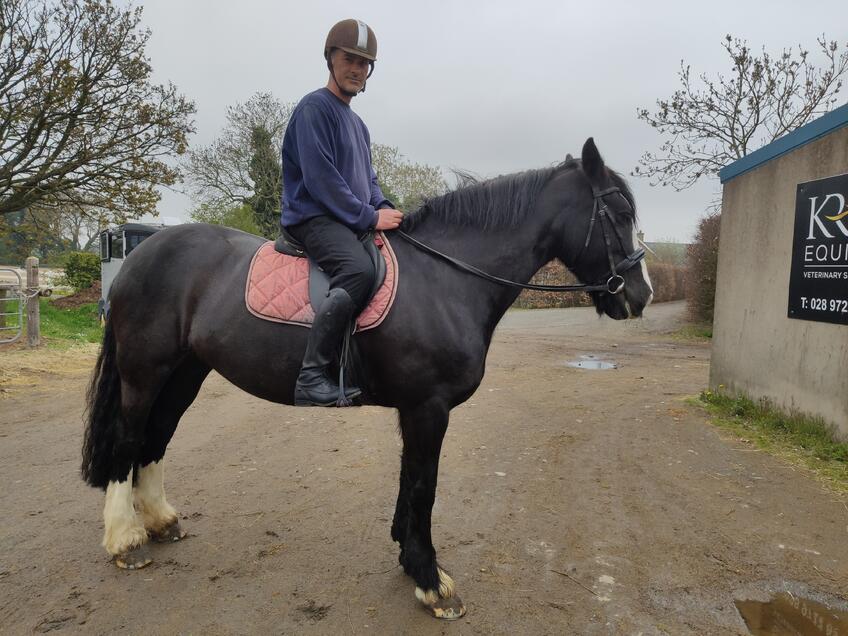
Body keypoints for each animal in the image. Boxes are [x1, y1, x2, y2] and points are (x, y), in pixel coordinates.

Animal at [81, 138, 648, 616]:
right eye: (620, 214)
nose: (641, 296)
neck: (445, 279)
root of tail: (140, 256)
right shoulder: (428, 407)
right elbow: (424, 485)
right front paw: (431, 581)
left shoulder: (415, 409)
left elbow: (408, 480)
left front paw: (408, 556)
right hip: (145, 372)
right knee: (128, 439)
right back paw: (125, 540)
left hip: (185, 373)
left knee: (156, 438)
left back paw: (160, 521)